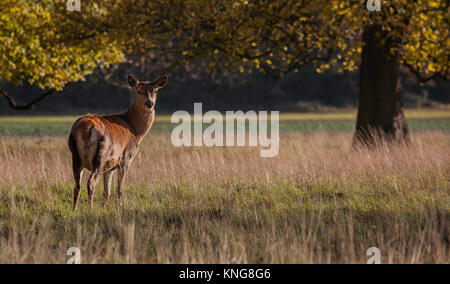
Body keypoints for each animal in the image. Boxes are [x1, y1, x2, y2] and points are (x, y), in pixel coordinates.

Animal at [66, 74, 166, 210]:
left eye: (154, 91)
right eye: (138, 91)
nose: (149, 103)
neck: (136, 131)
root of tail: (86, 127)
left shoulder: (110, 166)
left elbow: (106, 192)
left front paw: (104, 208)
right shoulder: (126, 157)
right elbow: (120, 190)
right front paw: (121, 207)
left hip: (75, 155)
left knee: (77, 186)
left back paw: (75, 210)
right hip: (101, 154)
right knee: (90, 182)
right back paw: (90, 209)